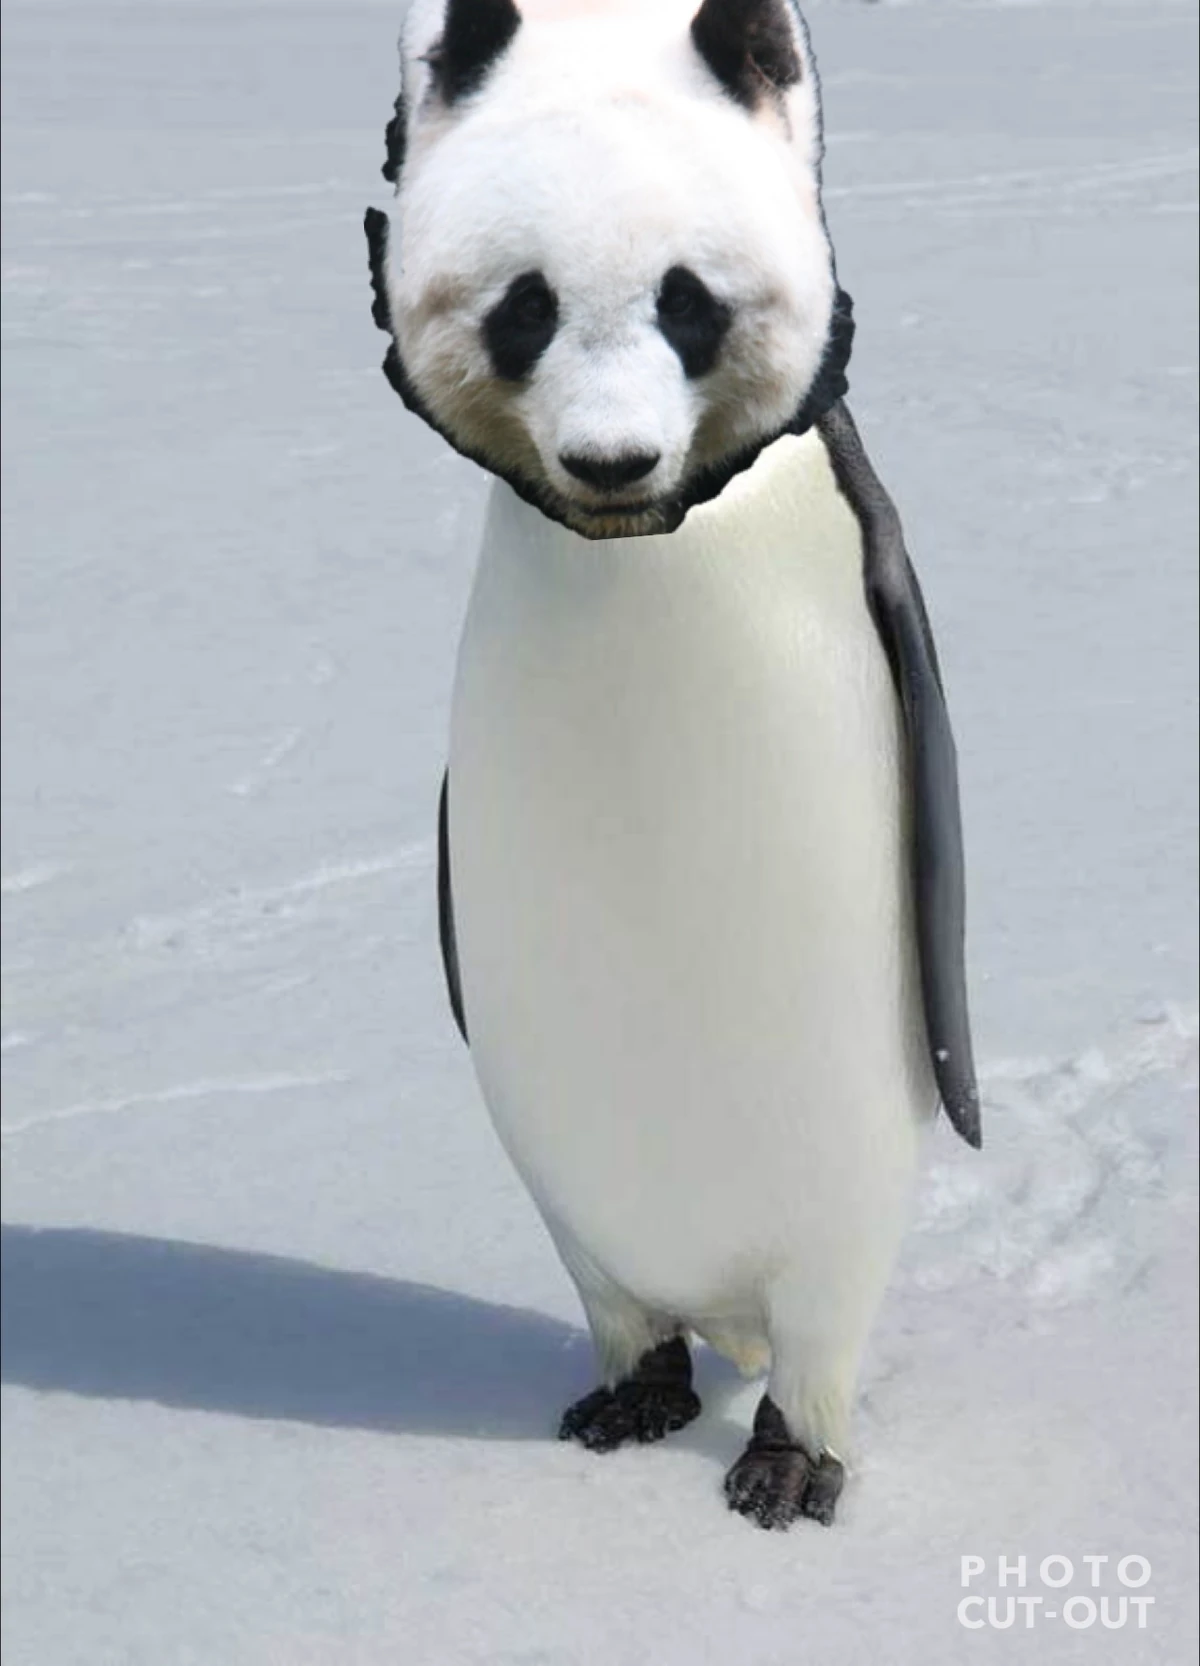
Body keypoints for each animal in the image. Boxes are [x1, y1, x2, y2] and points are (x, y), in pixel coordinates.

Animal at [365, 0, 979, 1530]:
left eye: (690, 307)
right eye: (523, 311)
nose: (611, 459)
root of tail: (730, 1315)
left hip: (825, 1217)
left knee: (814, 1334)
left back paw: (785, 1459)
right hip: (582, 1201)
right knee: (632, 1310)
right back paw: (632, 1397)